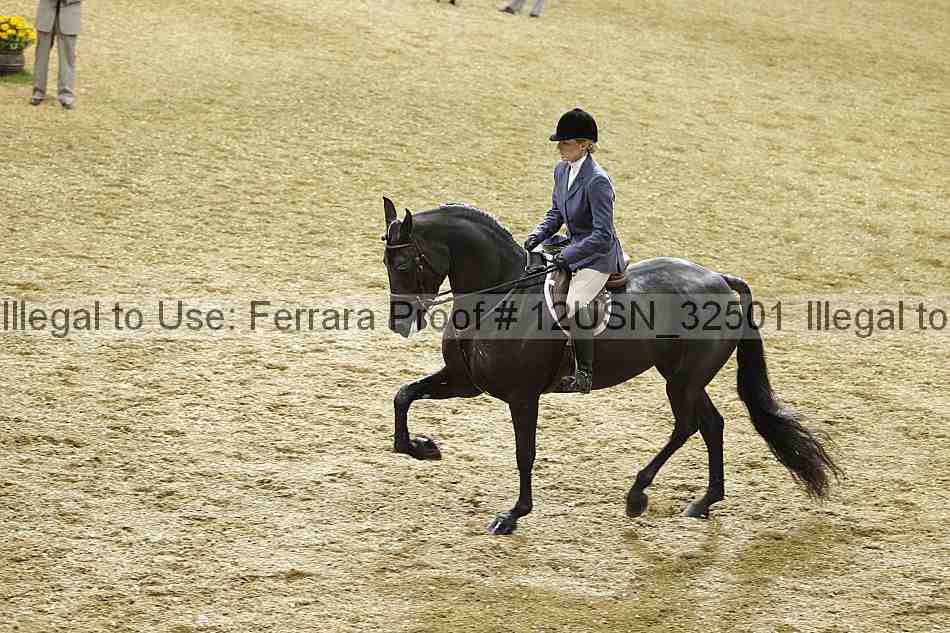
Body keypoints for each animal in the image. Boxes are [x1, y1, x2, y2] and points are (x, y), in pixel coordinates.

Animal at [381, 197, 840, 534]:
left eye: (402, 263)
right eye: (386, 264)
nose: (399, 324)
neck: (497, 299)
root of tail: (722, 280)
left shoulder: (522, 396)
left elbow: (524, 452)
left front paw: (513, 514)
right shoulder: (465, 381)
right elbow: (403, 395)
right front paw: (422, 447)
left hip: (682, 380)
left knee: (689, 426)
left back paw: (639, 495)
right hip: (684, 379)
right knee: (711, 425)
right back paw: (702, 502)